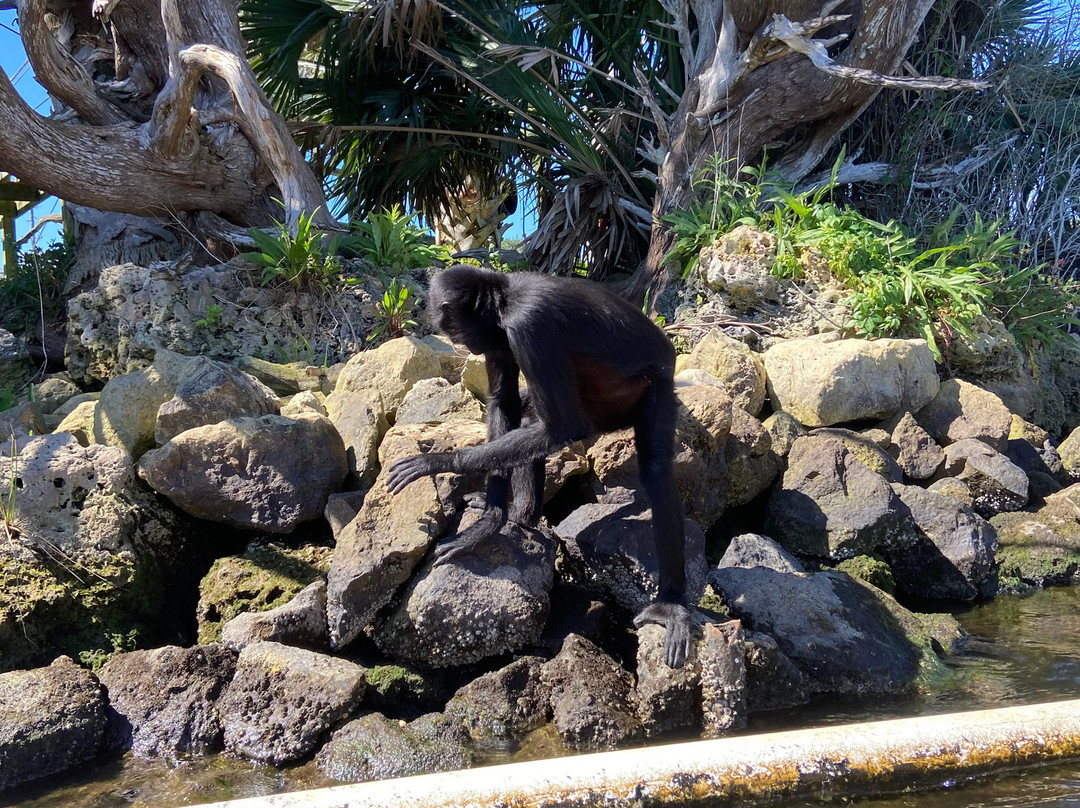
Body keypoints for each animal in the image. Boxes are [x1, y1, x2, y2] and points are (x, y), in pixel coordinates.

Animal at [387, 264, 693, 667]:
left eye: (451, 328)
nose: (462, 344)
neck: (507, 297)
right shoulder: (501, 338)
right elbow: (504, 403)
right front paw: (491, 521)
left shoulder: (527, 328)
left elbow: (563, 428)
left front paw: (441, 461)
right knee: (533, 419)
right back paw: (522, 516)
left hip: (655, 385)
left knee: (653, 469)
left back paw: (670, 603)